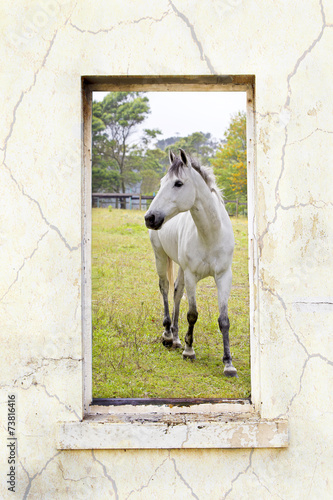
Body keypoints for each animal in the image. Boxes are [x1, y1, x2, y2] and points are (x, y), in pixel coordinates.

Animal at [144, 150, 237, 376]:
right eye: (162, 182)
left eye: (178, 183)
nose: (149, 217)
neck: (210, 234)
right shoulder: (192, 276)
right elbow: (192, 314)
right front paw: (189, 350)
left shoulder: (224, 276)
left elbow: (224, 320)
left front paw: (228, 363)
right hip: (161, 256)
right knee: (165, 289)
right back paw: (168, 335)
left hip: (180, 267)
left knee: (177, 292)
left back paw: (176, 338)